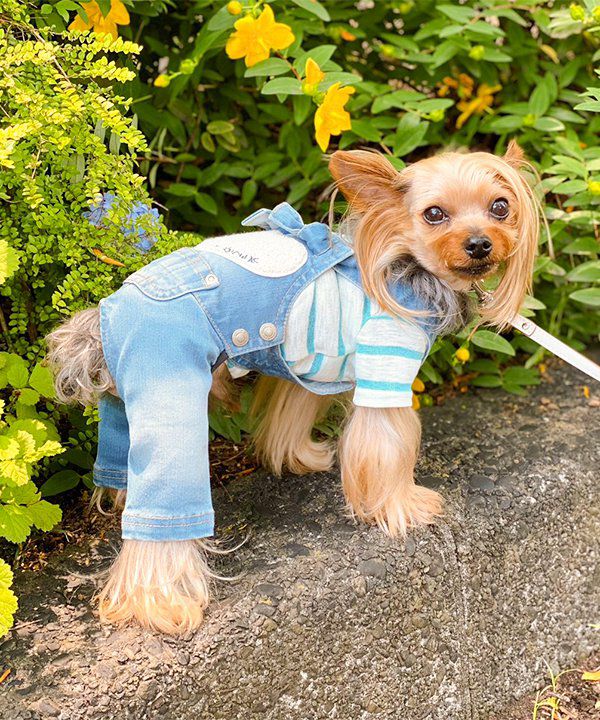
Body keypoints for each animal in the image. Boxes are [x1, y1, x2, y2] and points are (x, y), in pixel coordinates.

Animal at [46, 141, 541, 634]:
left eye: (501, 207)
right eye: (434, 214)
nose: (479, 244)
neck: (402, 263)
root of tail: (109, 308)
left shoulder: (310, 365)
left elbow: (292, 413)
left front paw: (300, 458)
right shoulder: (387, 361)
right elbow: (387, 443)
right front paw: (402, 507)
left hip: (129, 394)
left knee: (123, 465)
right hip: (169, 379)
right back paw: (160, 605)